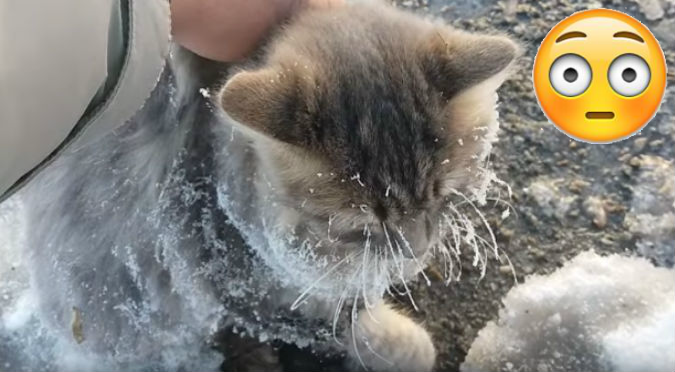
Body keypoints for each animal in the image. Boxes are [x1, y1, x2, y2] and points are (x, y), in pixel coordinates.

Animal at [19, 1, 516, 370]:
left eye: (444, 198)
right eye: (356, 226)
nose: (416, 253)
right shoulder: (238, 281)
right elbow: (346, 324)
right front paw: (405, 343)